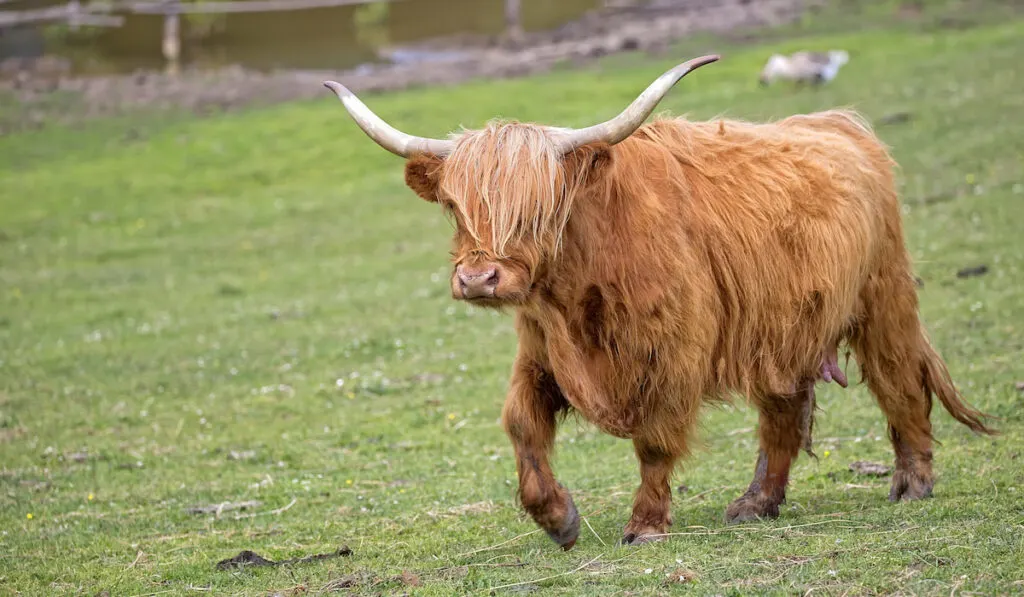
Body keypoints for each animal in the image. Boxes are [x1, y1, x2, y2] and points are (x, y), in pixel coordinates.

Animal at [323, 56, 995, 552]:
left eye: (541, 207)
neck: (578, 292)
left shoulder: (673, 357)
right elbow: (522, 424)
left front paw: (645, 525)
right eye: (454, 206)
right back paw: (755, 504)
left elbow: (654, 443)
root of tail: (836, 122)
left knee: (899, 380)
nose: (479, 278)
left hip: (883, 298)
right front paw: (558, 519)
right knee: (783, 412)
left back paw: (912, 483)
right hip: (783, 329)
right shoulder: (540, 354)